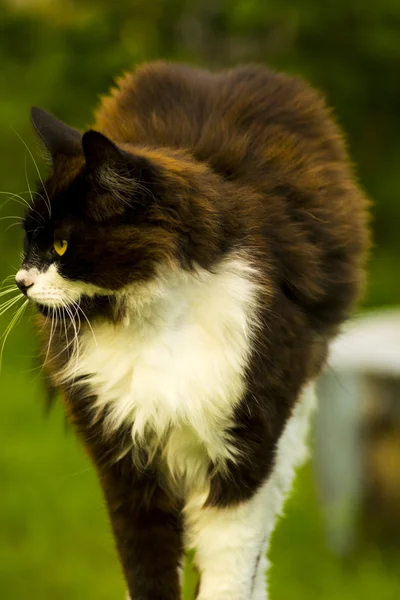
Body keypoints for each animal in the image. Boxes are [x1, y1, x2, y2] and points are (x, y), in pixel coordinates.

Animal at [14, 63, 370, 596]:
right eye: (27, 241)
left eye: (59, 245)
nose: (20, 281)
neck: (154, 321)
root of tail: (215, 73)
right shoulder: (125, 460)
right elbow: (148, 570)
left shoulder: (246, 447)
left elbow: (230, 567)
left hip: (290, 422)